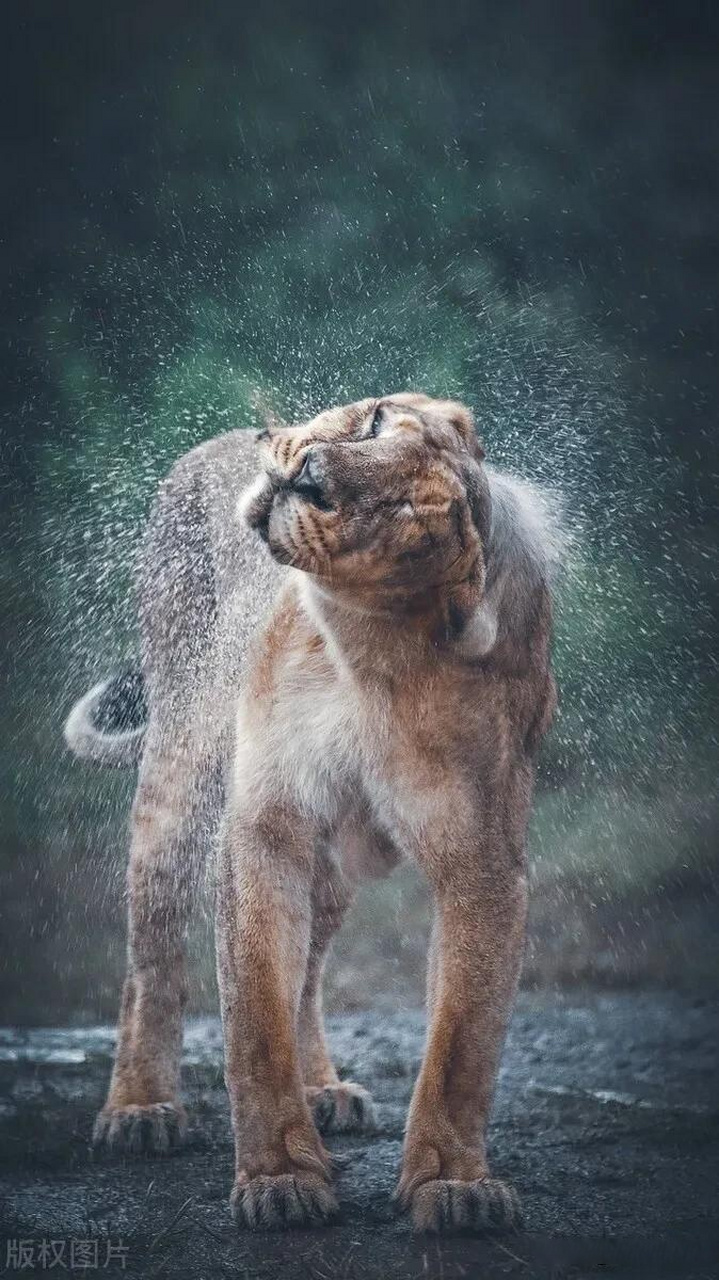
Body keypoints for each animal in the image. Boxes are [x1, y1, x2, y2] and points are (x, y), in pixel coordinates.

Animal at [64, 391, 557, 1228]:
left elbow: (462, 1040)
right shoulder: (264, 823)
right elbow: (255, 1017)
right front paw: (279, 1180)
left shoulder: (482, 861)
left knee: (310, 970)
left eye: (405, 513)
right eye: (375, 422)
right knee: (151, 960)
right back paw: (139, 1110)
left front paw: (452, 1186)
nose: (310, 473)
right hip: (179, 769)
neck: (368, 655)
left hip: (335, 858)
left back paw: (323, 1090)